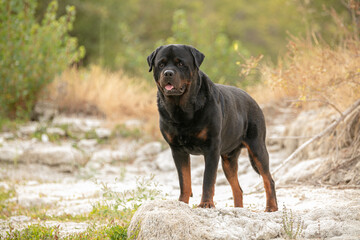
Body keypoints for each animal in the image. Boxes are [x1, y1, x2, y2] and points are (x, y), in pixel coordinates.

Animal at [146, 44, 278, 211]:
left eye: (180, 63)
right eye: (161, 64)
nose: (168, 73)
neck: (181, 109)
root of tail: (252, 100)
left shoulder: (211, 148)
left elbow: (208, 179)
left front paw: (206, 203)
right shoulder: (177, 150)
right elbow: (184, 181)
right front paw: (181, 203)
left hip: (257, 147)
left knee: (268, 179)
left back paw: (271, 207)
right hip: (228, 159)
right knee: (238, 189)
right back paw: (238, 209)